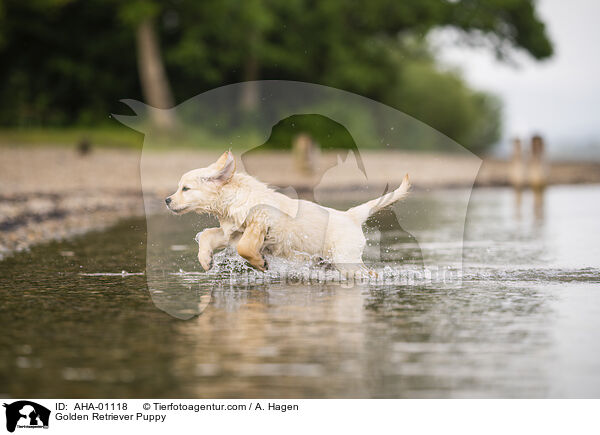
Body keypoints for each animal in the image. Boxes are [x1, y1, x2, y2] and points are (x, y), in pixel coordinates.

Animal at [165, 152, 408, 274]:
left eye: (185, 189)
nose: (167, 200)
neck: (234, 199)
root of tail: (351, 215)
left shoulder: (262, 220)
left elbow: (245, 247)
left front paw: (260, 263)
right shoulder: (230, 233)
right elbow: (208, 235)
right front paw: (205, 260)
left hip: (344, 259)